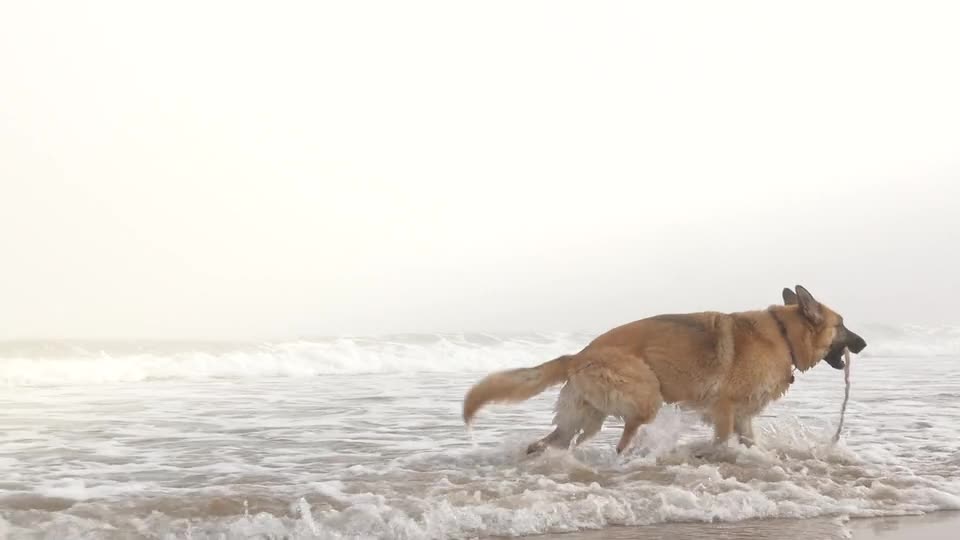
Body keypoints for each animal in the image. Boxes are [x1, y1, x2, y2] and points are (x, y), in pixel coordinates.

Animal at [464, 286, 872, 456]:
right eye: (842, 325)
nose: (865, 343)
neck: (783, 334)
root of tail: (578, 354)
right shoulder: (725, 410)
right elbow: (723, 442)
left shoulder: (742, 417)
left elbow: (750, 443)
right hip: (647, 395)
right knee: (623, 438)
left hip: (583, 420)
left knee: (554, 441)